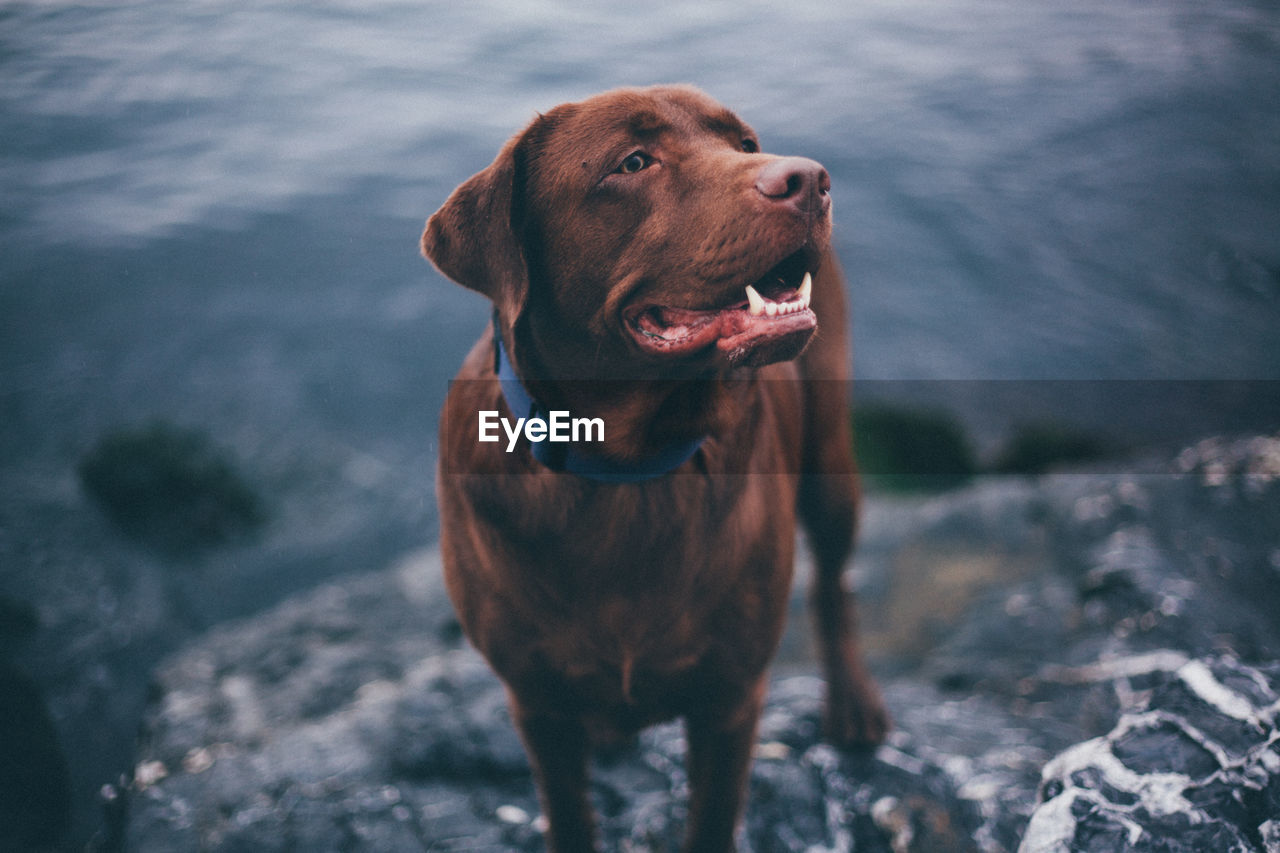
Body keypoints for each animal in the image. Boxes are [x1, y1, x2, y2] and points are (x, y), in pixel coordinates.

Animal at [424, 86, 885, 850]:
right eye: (633, 162)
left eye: (746, 143)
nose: (810, 180)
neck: (626, 469)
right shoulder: (537, 704)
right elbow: (570, 816)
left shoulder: (730, 699)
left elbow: (711, 820)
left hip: (829, 456)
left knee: (833, 582)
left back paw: (853, 704)